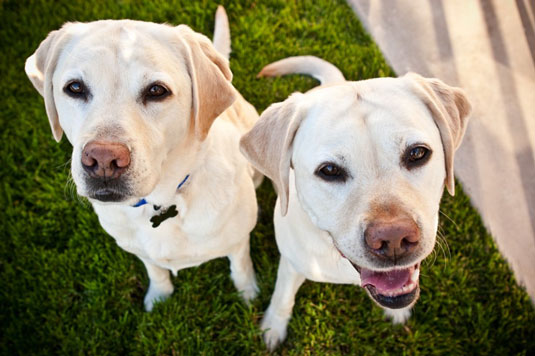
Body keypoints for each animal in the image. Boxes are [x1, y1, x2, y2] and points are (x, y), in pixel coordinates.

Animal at [25, 6, 264, 312]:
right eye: (75, 87)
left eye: (156, 90)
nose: (103, 160)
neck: (162, 201)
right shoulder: (141, 251)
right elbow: (156, 269)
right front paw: (160, 296)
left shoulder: (239, 240)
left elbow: (241, 266)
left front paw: (248, 295)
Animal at [241, 56, 472, 350]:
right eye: (329, 170)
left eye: (417, 153)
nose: (394, 239)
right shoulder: (291, 264)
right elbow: (283, 297)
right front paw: (273, 328)